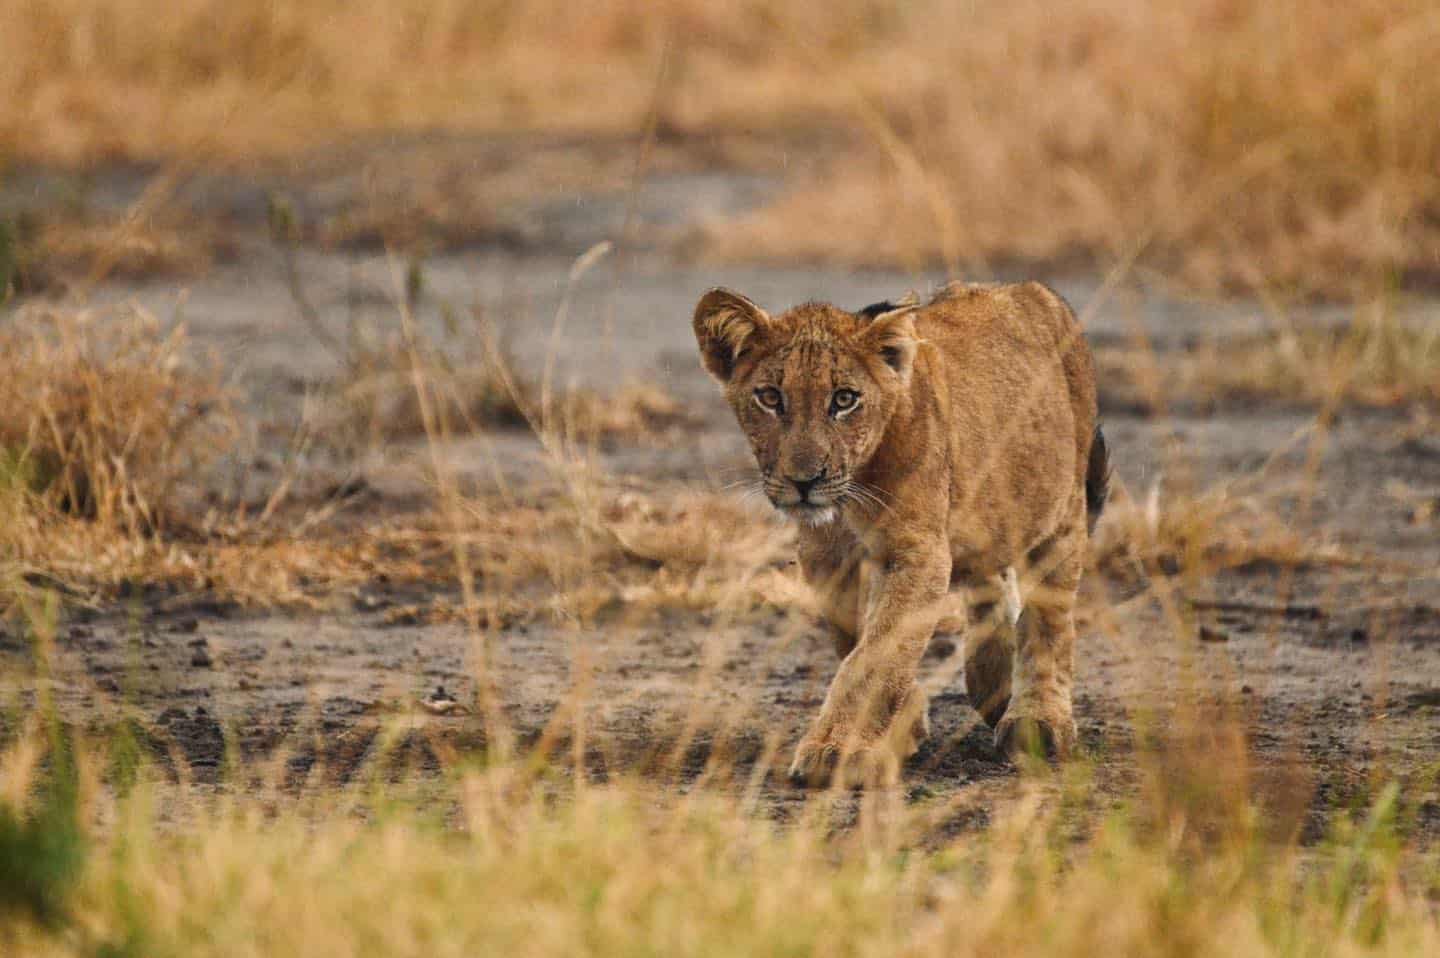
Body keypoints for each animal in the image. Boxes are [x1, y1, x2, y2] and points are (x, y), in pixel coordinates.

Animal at [692, 281, 1109, 786]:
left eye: (844, 399)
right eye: (770, 397)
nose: (805, 480)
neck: (848, 499)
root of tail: (1030, 289)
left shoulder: (915, 552)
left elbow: (875, 654)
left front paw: (835, 749)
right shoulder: (826, 558)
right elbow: (861, 642)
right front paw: (902, 724)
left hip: (1062, 511)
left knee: (1049, 617)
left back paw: (1037, 719)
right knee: (989, 575)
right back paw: (993, 681)